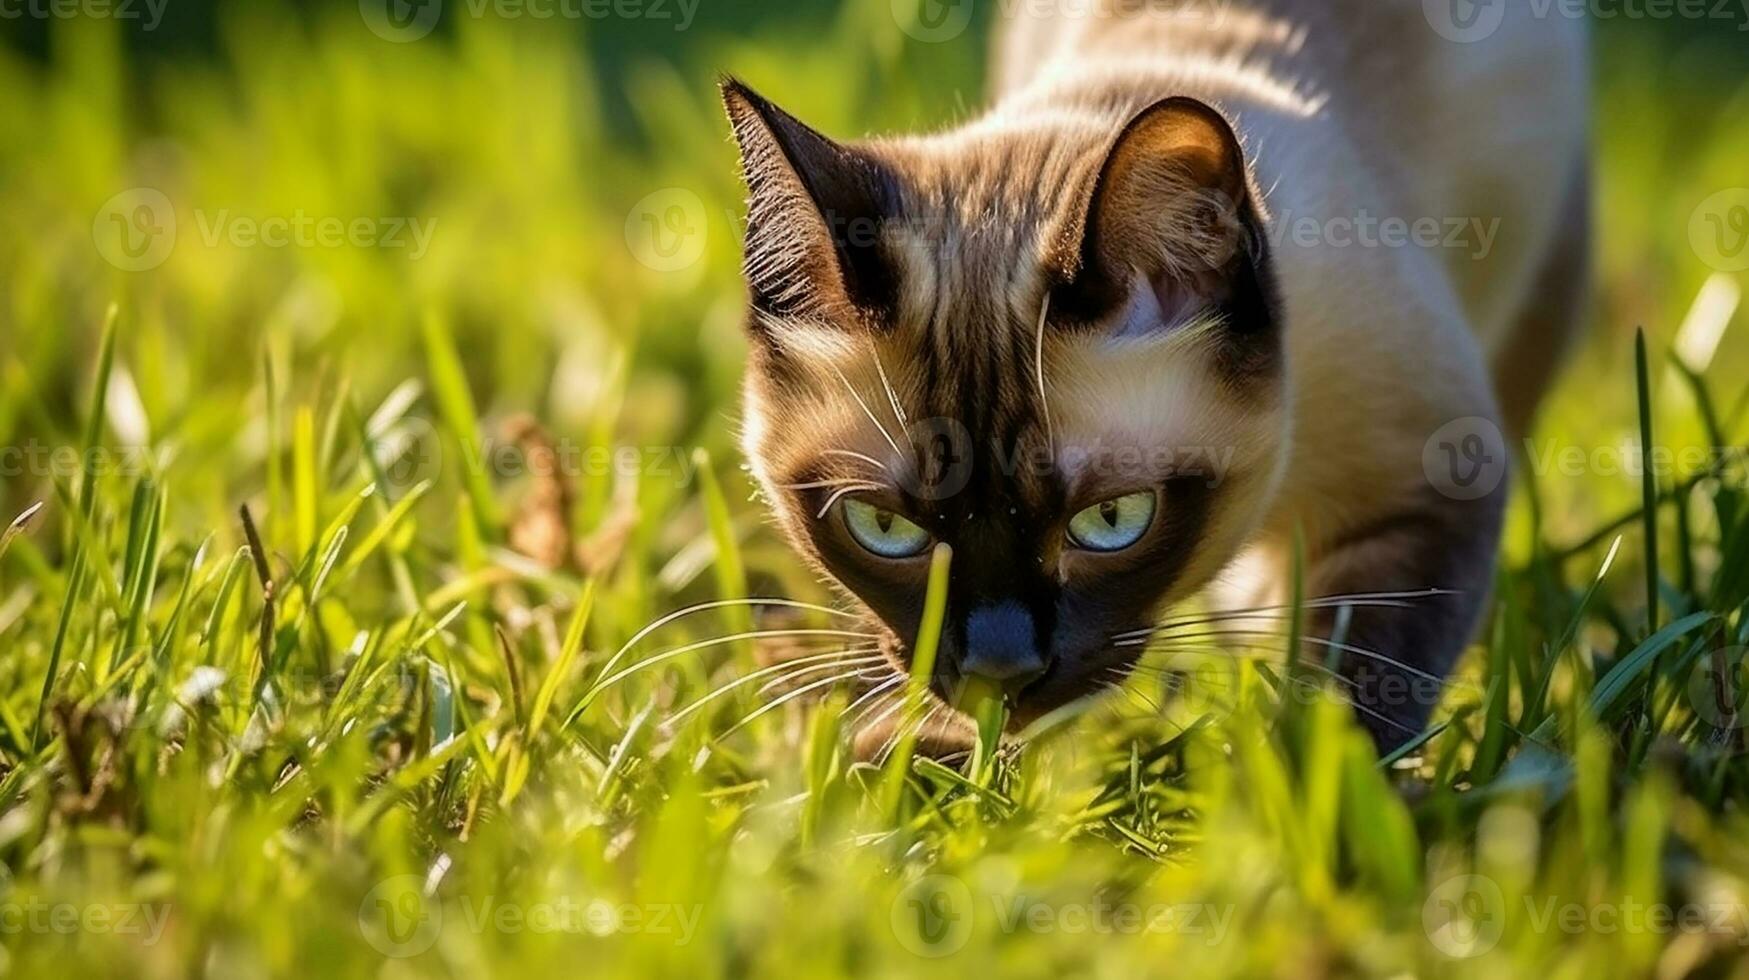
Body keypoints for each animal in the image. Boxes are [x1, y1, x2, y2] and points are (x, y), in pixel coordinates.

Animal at [717, 0, 1595, 749]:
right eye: (883, 528)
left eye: (1112, 522)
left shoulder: (1417, 499)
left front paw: (1306, 808)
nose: (1000, 672)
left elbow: (1346, 700)